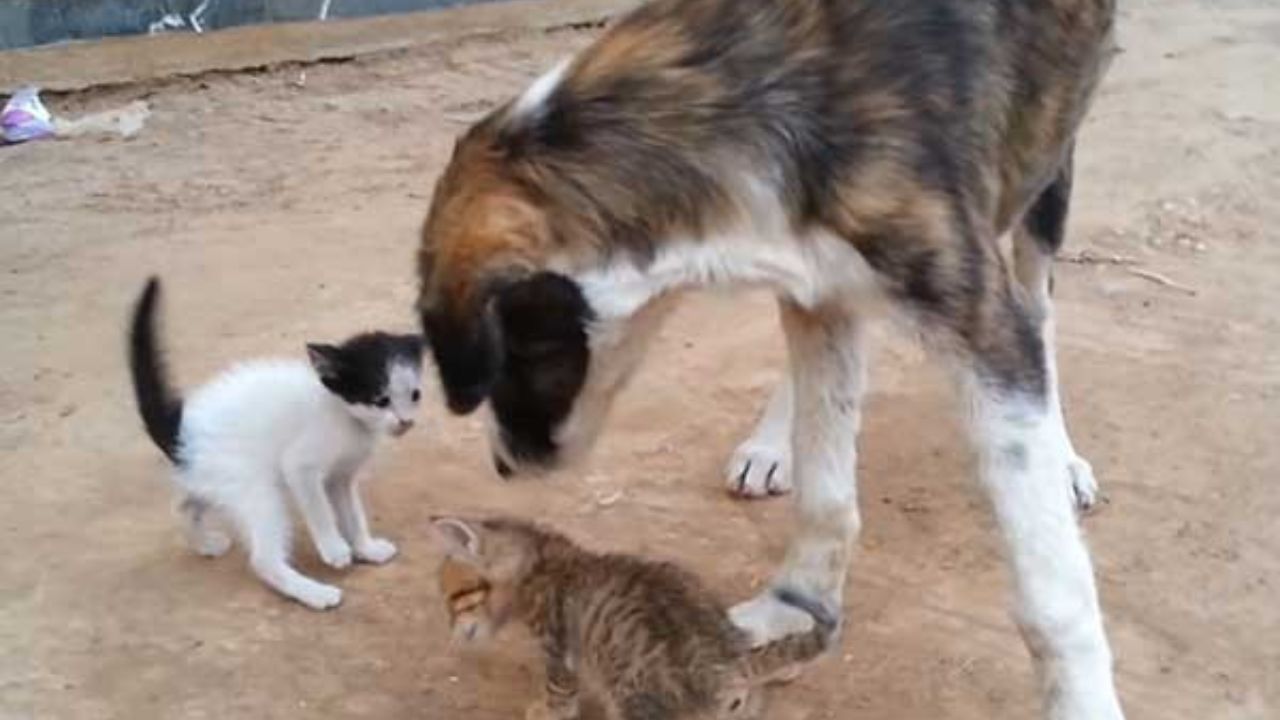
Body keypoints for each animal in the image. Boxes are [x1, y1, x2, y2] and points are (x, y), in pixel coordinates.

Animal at [129, 278, 422, 607]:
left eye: (415, 396)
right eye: (380, 400)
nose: (405, 422)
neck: (344, 415)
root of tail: (182, 431)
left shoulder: (340, 477)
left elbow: (353, 514)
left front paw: (366, 548)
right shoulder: (300, 466)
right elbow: (320, 510)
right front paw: (334, 548)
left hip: (214, 478)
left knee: (182, 505)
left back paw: (204, 544)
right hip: (256, 490)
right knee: (263, 560)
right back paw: (315, 593)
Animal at [424, 512, 834, 712]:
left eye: (454, 598)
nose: (449, 630)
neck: (542, 564)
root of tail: (729, 658)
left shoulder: (559, 657)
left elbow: (559, 700)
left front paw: (542, 711)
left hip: (636, 699)